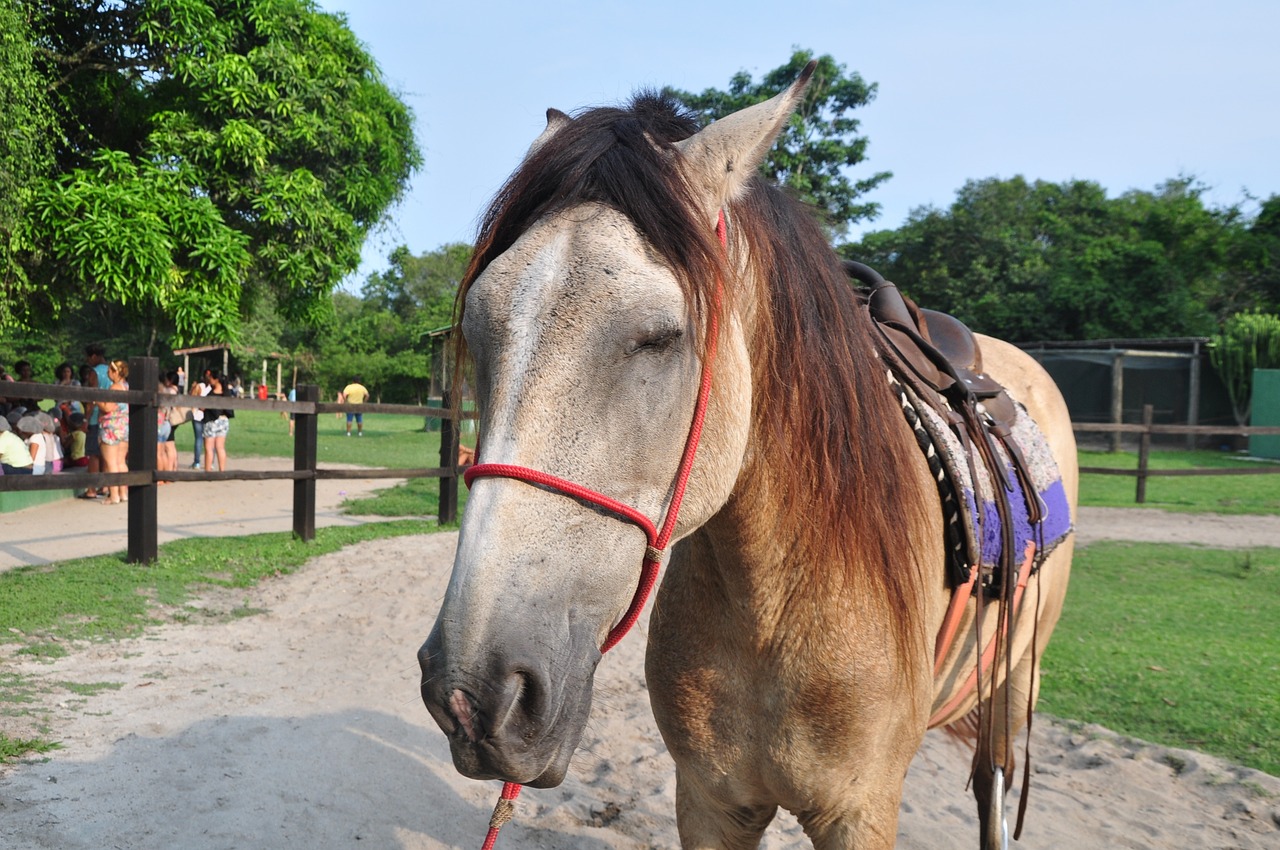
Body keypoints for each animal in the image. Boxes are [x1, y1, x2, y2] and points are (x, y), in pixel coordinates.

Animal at [419, 63, 1070, 844]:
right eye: (478, 330)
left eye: (662, 337)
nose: (473, 694)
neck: (777, 601)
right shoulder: (710, 801)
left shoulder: (861, 811)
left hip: (1017, 684)